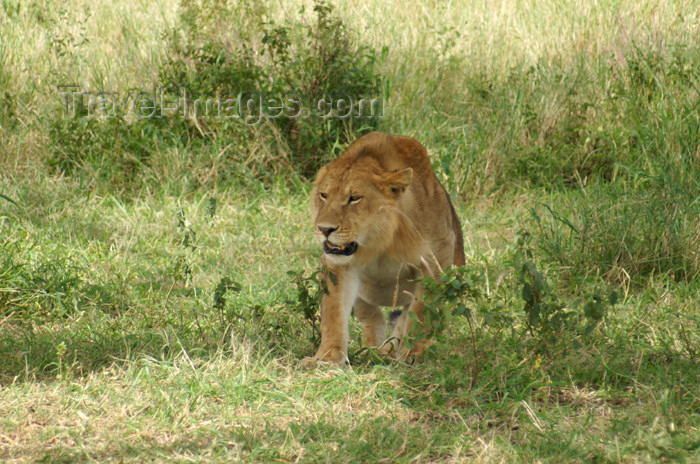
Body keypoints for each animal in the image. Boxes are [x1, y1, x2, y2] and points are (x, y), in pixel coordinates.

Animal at [300, 132, 464, 368]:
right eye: (323, 195)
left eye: (354, 198)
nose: (324, 229)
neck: (379, 240)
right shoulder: (338, 265)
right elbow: (333, 312)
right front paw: (327, 358)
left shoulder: (436, 261)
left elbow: (420, 314)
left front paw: (412, 354)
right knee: (372, 315)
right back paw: (375, 351)